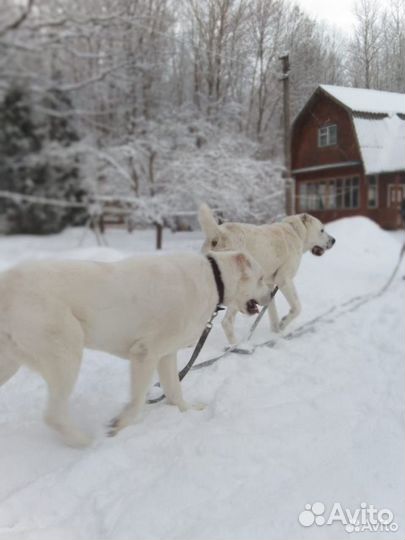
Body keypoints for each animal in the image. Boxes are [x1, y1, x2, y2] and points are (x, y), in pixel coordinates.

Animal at [0, 251, 272, 446]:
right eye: (260, 278)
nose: (271, 295)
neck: (215, 279)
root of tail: (6, 285)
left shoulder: (166, 354)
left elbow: (174, 390)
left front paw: (187, 411)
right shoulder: (145, 352)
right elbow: (139, 398)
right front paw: (120, 423)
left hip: (11, 363)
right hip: (66, 352)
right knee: (53, 415)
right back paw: (84, 442)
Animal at [196, 205, 334, 344]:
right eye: (322, 230)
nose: (334, 240)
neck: (297, 232)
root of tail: (219, 233)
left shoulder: (267, 285)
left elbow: (271, 310)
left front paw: (276, 331)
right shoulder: (284, 279)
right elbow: (297, 307)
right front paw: (283, 323)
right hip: (239, 292)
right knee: (226, 322)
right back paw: (236, 345)